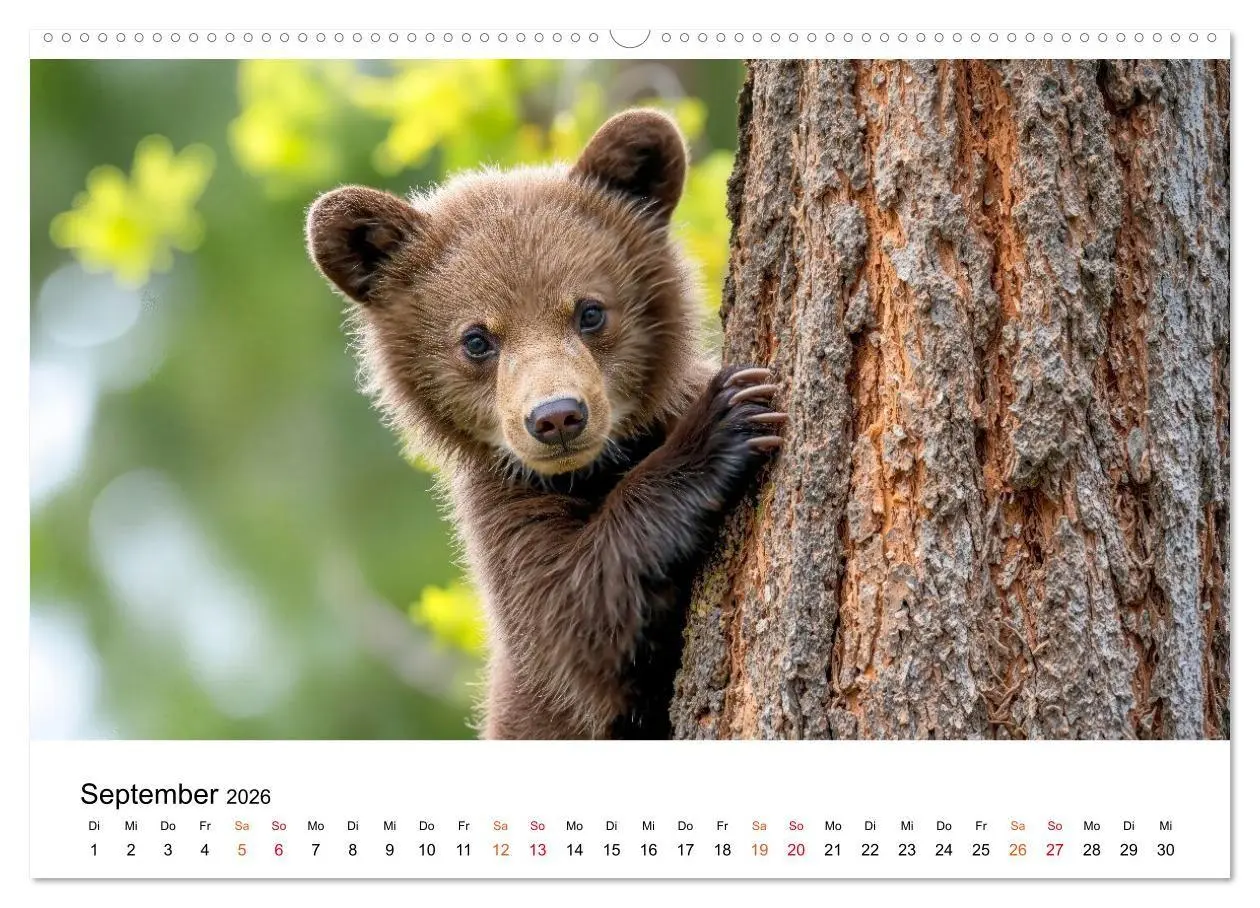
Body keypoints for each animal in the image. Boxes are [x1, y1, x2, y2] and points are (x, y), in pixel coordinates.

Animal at [305, 109, 785, 739]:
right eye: (476, 338)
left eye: (590, 311)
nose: (556, 416)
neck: (594, 469)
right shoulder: (503, 509)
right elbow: (576, 615)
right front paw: (724, 421)